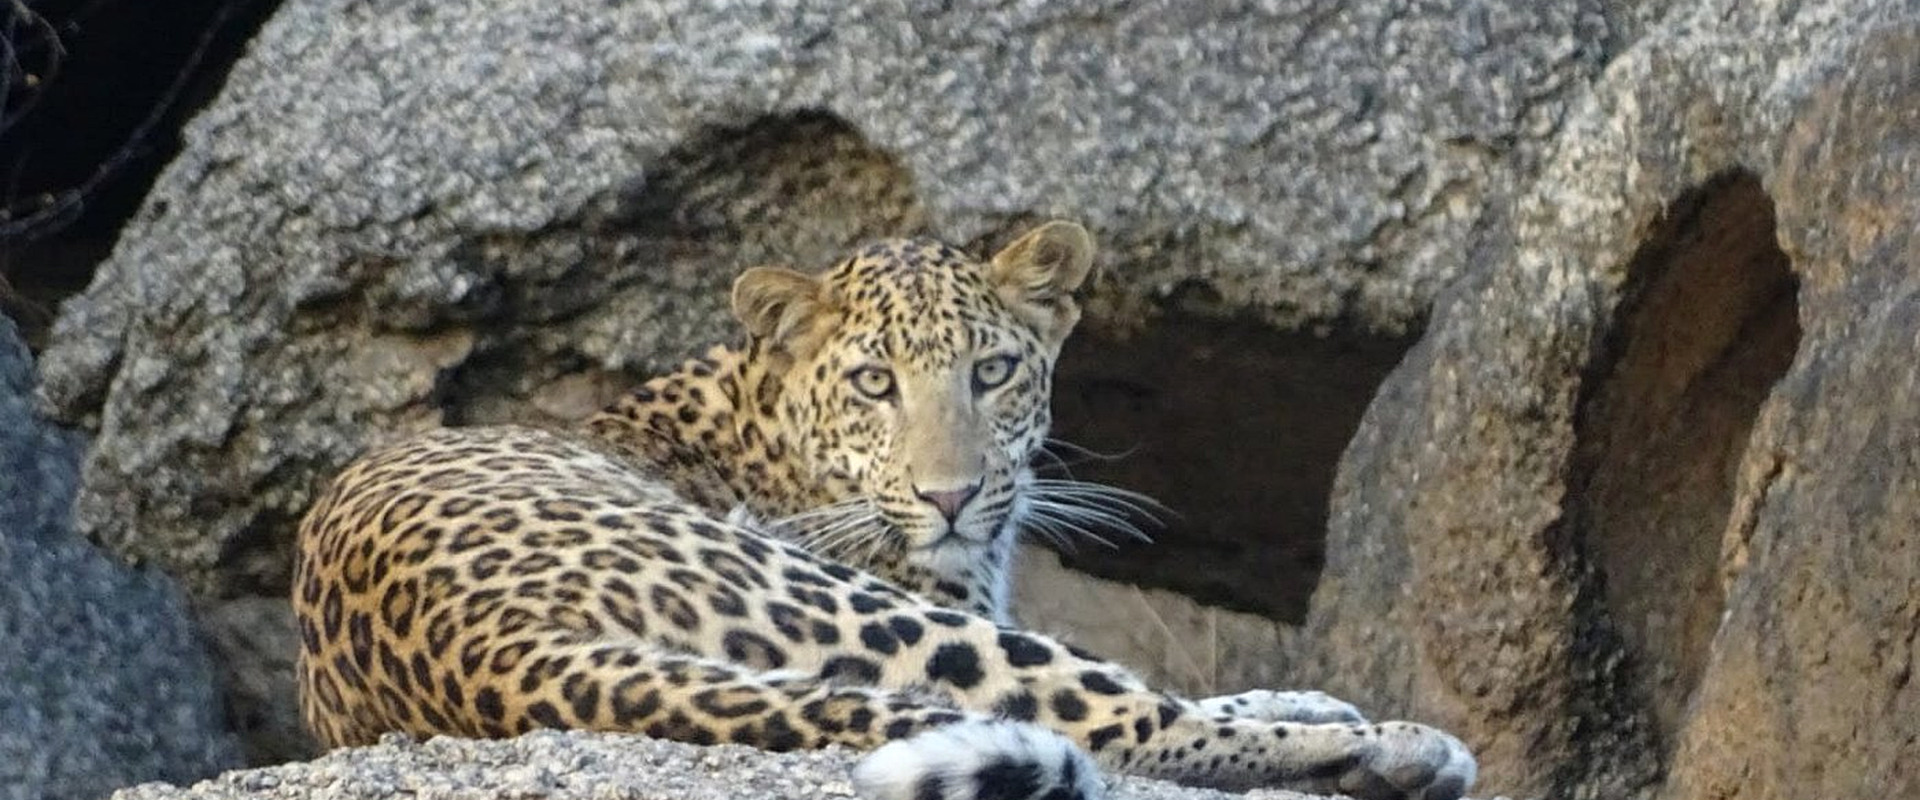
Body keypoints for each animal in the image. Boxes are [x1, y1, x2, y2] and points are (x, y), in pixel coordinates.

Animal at [293, 221, 1477, 800]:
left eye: (992, 372)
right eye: (875, 384)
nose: (951, 496)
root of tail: (488, 651)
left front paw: (1314, 694)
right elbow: (1118, 692)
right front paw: (1337, 718)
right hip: (833, 599)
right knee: (1117, 720)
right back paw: (1404, 752)